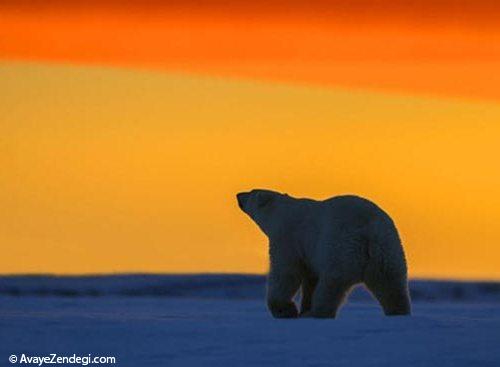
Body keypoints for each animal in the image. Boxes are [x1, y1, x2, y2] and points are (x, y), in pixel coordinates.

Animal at [236, 190, 412, 320]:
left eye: (251, 192)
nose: (238, 194)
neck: (282, 213)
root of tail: (369, 231)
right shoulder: (310, 253)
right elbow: (310, 278)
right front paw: (303, 309)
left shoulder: (288, 239)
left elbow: (285, 273)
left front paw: (286, 310)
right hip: (388, 250)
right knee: (391, 284)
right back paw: (399, 311)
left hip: (339, 248)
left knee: (331, 285)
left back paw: (318, 312)